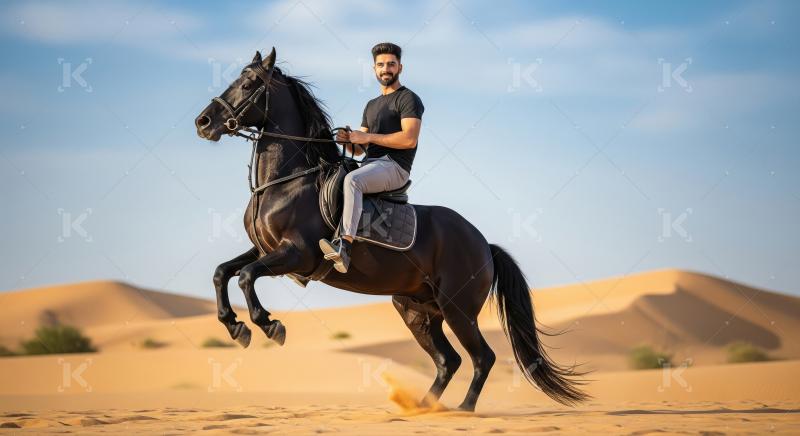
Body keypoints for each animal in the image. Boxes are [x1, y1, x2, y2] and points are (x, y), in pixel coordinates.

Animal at [194, 48, 589, 411]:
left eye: (248, 84)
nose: (203, 122)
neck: (286, 183)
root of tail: (483, 244)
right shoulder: (265, 250)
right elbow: (222, 272)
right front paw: (234, 325)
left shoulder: (296, 254)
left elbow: (246, 276)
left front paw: (266, 324)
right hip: (417, 310)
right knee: (448, 361)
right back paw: (422, 408)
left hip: (458, 309)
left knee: (481, 358)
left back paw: (463, 410)